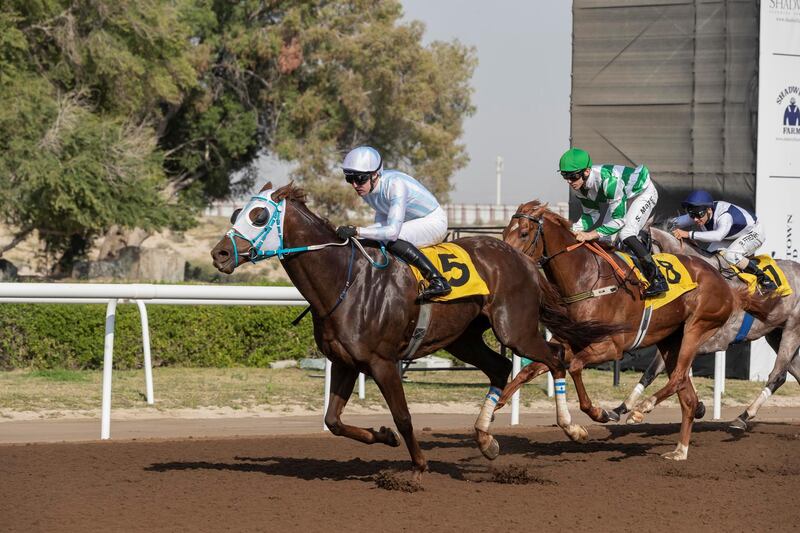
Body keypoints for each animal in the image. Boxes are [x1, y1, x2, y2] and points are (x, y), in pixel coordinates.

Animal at [209, 183, 620, 478]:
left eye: (259, 215)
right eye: (236, 212)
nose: (220, 254)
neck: (346, 282)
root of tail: (524, 259)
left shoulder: (383, 362)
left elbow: (404, 416)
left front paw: (419, 464)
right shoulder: (346, 362)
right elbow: (334, 421)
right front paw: (383, 437)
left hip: (514, 330)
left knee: (556, 358)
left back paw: (574, 427)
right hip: (464, 339)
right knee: (502, 367)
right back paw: (485, 439)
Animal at [496, 202, 772, 460]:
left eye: (524, 233)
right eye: (504, 232)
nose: (507, 267)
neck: (587, 279)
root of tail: (726, 285)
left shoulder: (611, 346)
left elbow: (574, 367)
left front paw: (600, 413)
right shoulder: (569, 341)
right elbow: (530, 370)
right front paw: (497, 404)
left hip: (698, 327)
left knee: (678, 377)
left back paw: (641, 409)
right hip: (670, 340)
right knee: (688, 397)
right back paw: (679, 450)